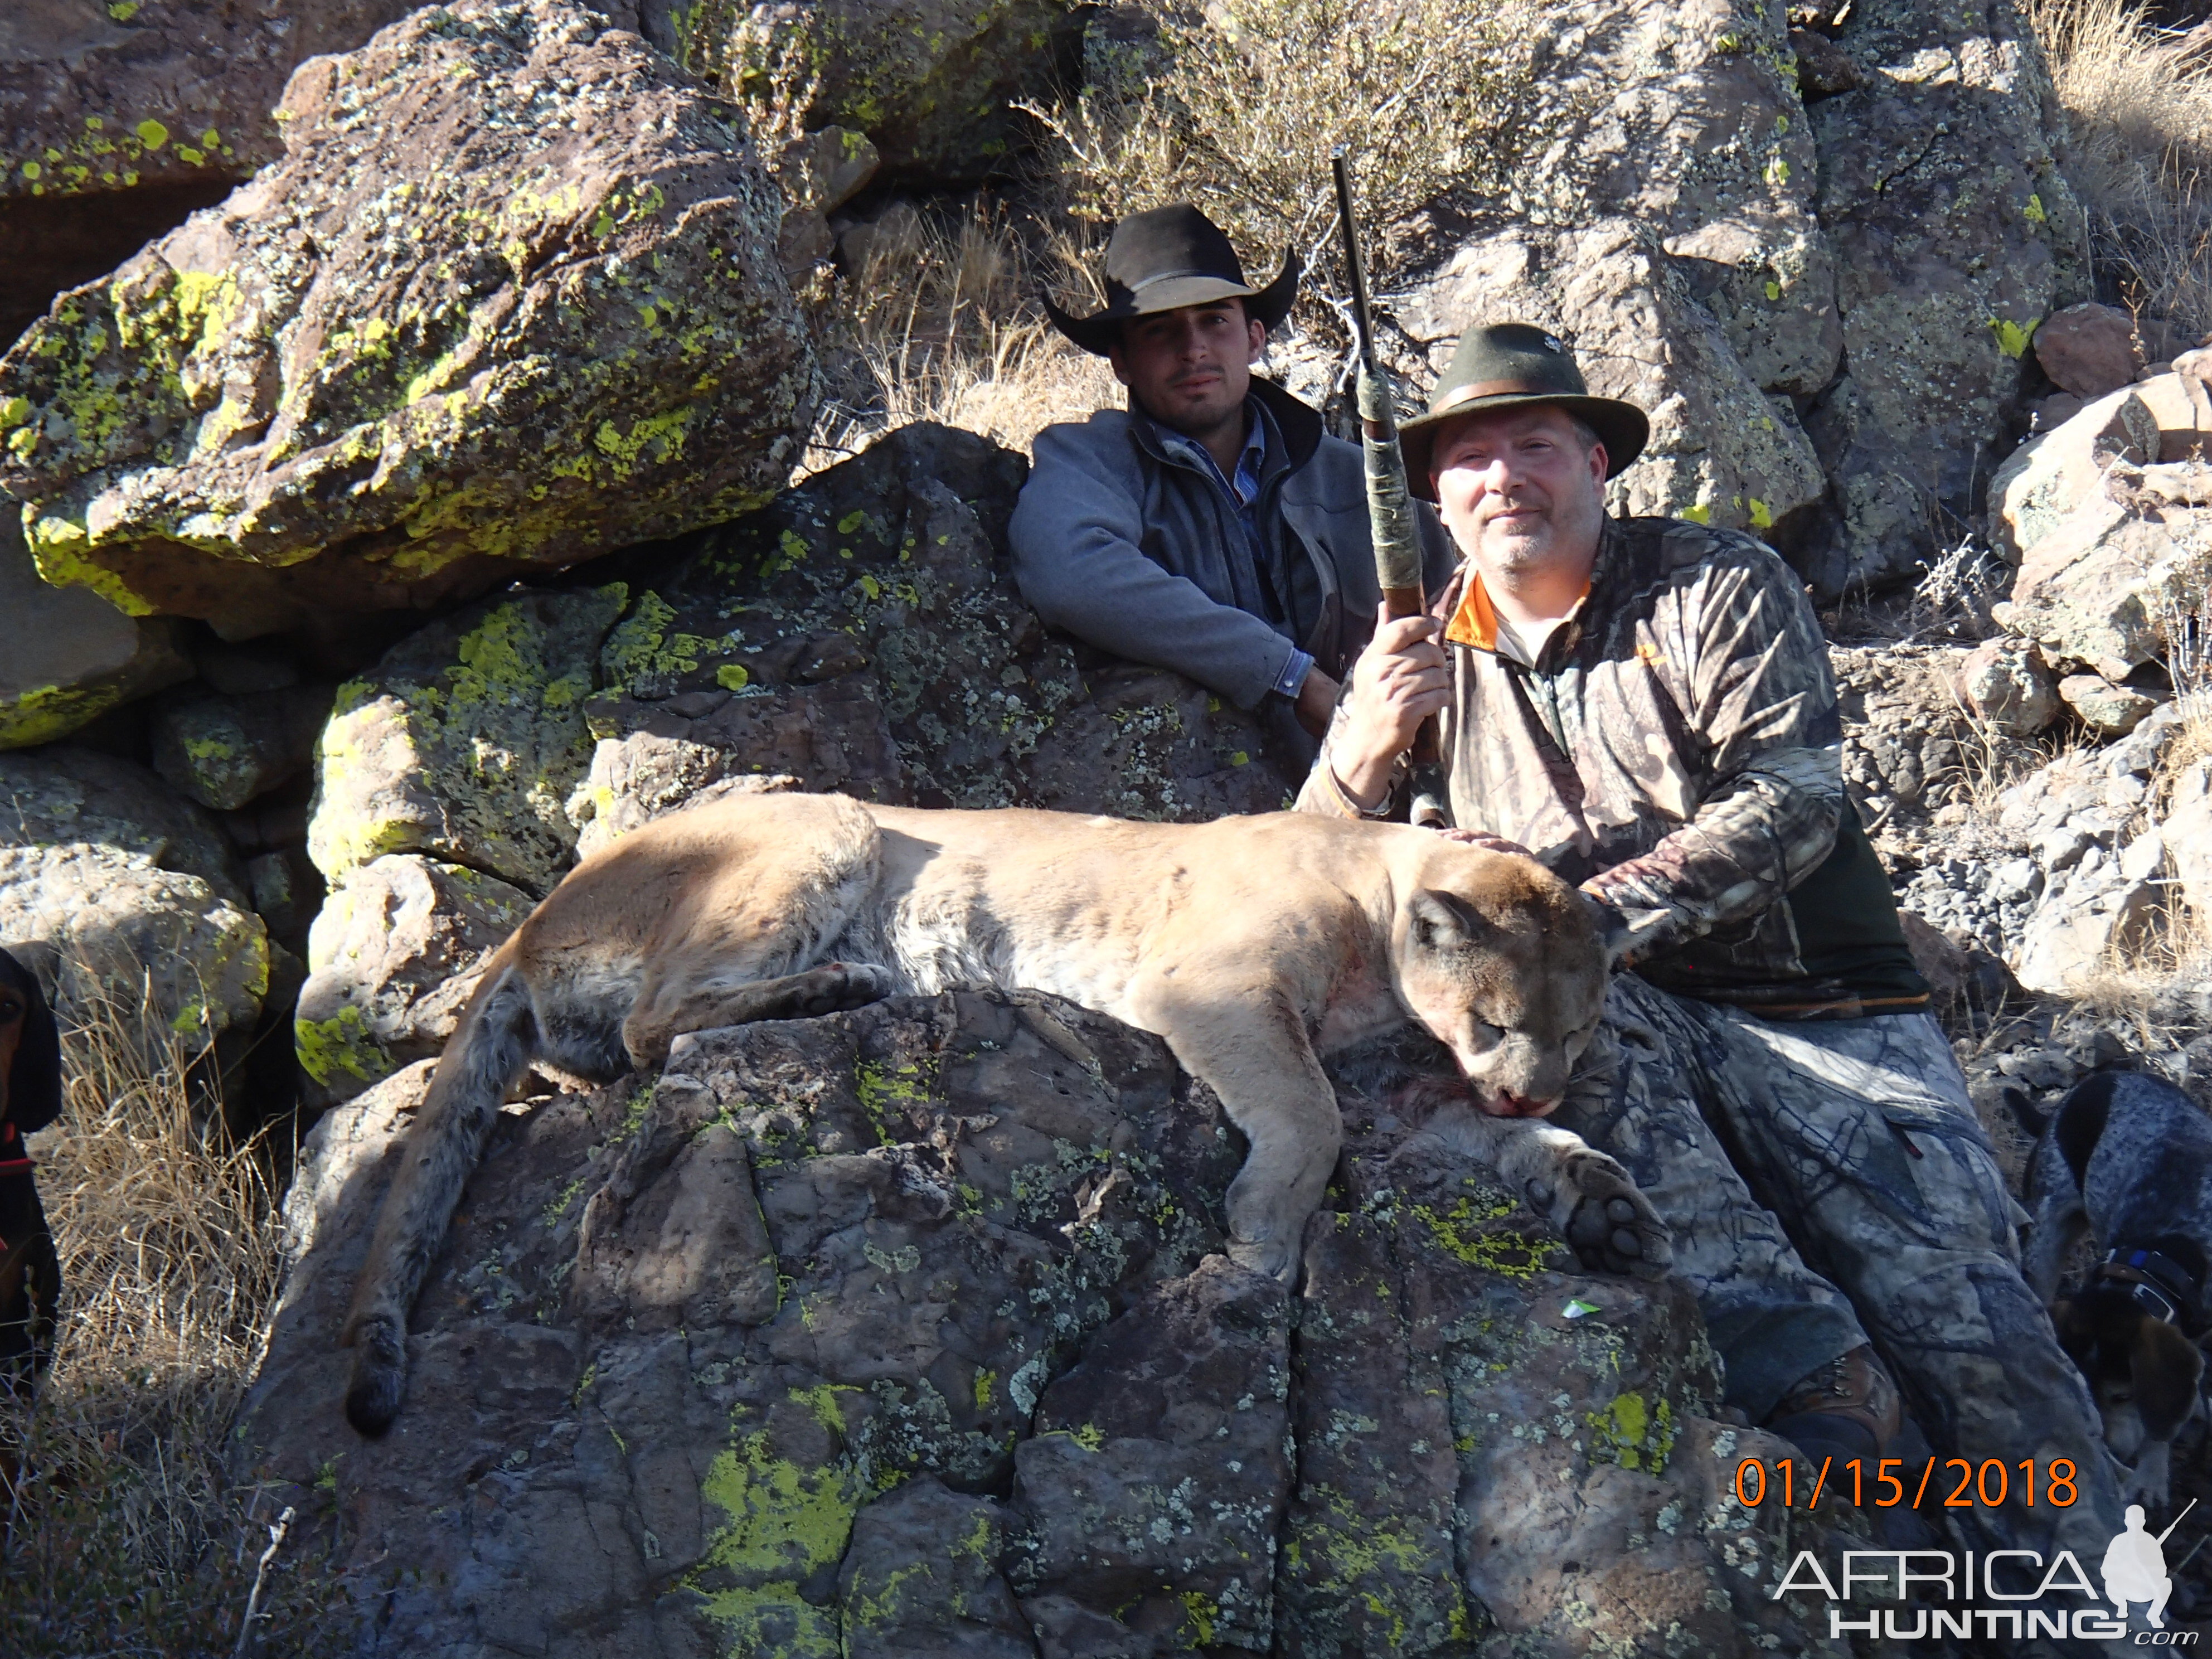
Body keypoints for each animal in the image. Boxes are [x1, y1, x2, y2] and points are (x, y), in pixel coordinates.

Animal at [336, 801, 1663, 1433]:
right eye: (1495, 1017)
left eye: (1578, 1030)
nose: (1533, 1079)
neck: (1378, 907)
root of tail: (527, 919)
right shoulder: (1222, 991)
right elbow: (1307, 1114)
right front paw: (1259, 1243)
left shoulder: (1398, 1085)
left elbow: (1494, 1142)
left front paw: (1601, 1201)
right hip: (822, 827)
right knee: (652, 1028)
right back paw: (844, 985)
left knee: (606, 1052)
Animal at [2026, 1070, 2212, 1513]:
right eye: (2085, 1390)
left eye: (2124, 1397)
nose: (2107, 1451)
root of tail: (2105, 1077)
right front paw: (2150, 1473)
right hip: (2047, 1234)